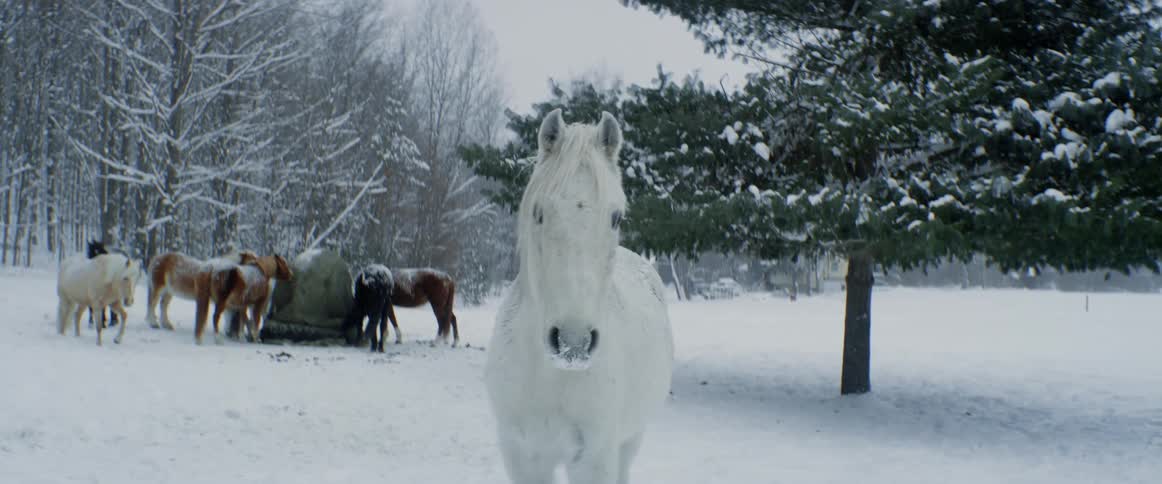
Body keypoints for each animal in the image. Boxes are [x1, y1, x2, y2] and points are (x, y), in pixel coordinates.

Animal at [483, 110, 674, 484]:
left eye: (616, 217)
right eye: (539, 212)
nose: (574, 343)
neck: (552, 376)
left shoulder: (594, 460)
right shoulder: (524, 458)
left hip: (631, 440)